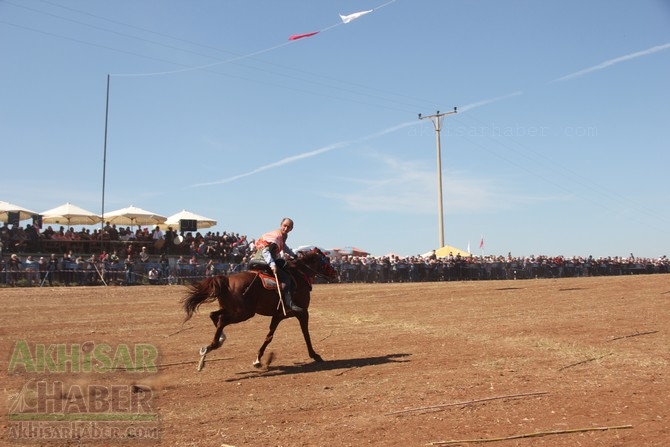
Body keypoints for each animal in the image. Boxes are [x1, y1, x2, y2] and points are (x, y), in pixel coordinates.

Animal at [181, 248, 338, 372]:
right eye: (327, 259)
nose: (335, 273)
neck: (299, 275)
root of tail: (226, 279)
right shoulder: (302, 312)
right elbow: (306, 334)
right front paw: (315, 355)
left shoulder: (279, 315)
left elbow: (269, 337)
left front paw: (258, 359)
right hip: (243, 313)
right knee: (221, 321)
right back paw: (212, 345)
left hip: (232, 309)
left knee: (213, 315)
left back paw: (216, 343)